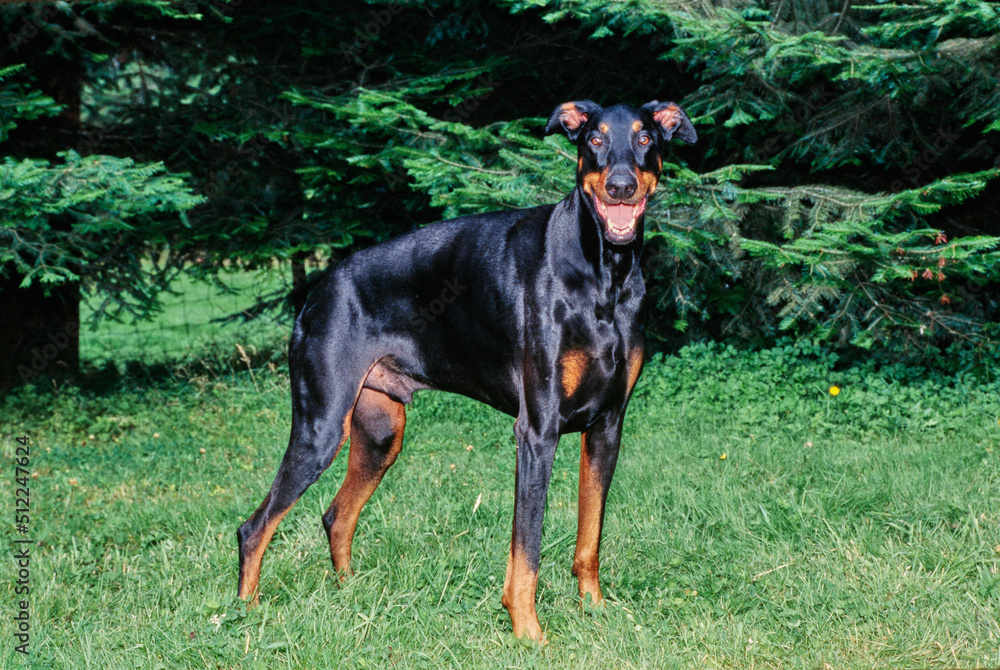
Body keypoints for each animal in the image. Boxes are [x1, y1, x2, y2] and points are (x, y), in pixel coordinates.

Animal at [239, 100, 700, 644]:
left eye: (646, 138)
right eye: (595, 139)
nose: (622, 186)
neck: (604, 272)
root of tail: (316, 293)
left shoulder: (607, 426)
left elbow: (590, 537)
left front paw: (595, 608)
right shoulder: (538, 430)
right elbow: (527, 548)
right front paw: (528, 631)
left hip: (380, 434)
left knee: (337, 516)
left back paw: (351, 596)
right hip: (322, 428)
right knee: (255, 528)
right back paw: (243, 616)